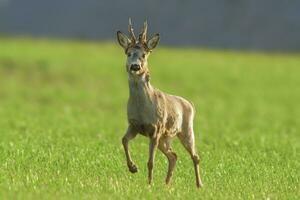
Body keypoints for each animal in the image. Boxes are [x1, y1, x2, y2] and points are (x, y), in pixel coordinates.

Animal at [117, 18, 204, 188]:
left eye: (144, 55)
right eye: (129, 53)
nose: (135, 66)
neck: (142, 109)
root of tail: (190, 104)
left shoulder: (155, 129)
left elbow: (151, 162)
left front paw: (149, 184)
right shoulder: (134, 125)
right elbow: (123, 140)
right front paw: (133, 168)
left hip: (186, 129)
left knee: (195, 156)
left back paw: (199, 185)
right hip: (166, 137)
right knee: (173, 155)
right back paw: (167, 183)